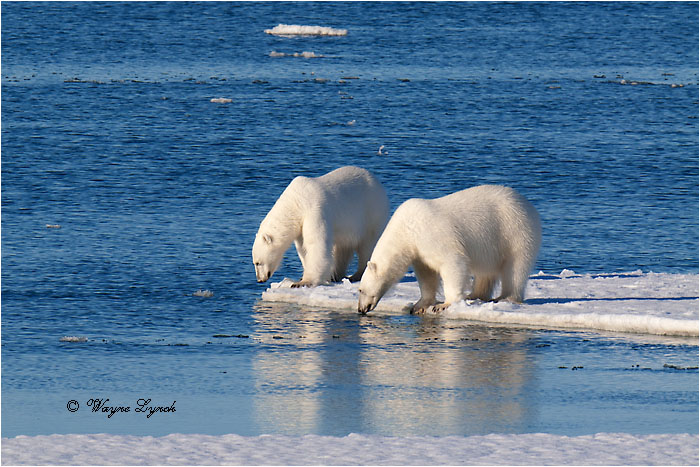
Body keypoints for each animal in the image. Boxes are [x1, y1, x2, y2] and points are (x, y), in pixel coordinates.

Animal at [253, 166, 390, 288]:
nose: (260, 279)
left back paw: (357, 274)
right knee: (342, 248)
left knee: (368, 244)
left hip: (371, 211)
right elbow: (303, 248)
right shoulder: (300, 224)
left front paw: (303, 282)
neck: (296, 202)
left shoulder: (314, 210)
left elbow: (315, 243)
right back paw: (335, 275)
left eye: (258, 263)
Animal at [357, 185, 541, 314]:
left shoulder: (433, 235)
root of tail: (529, 205)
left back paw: (506, 298)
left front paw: (444, 304)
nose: (360, 309)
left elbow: (453, 262)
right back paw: (474, 294)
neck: (406, 230)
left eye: (360, 289)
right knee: (485, 272)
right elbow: (427, 275)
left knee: (515, 268)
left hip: (514, 231)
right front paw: (418, 305)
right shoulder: (419, 252)